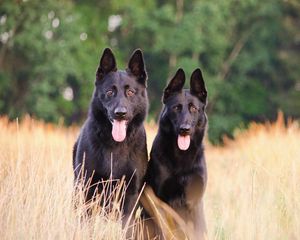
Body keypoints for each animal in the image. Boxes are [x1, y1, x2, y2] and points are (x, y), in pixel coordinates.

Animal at [74, 47, 149, 218]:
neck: (116, 146)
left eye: (130, 92)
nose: (120, 113)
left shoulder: (131, 193)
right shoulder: (88, 187)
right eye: (109, 92)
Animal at [146, 68, 207, 240]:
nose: (184, 129)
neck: (182, 158)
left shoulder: (195, 202)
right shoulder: (162, 200)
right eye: (176, 108)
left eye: (193, 108)